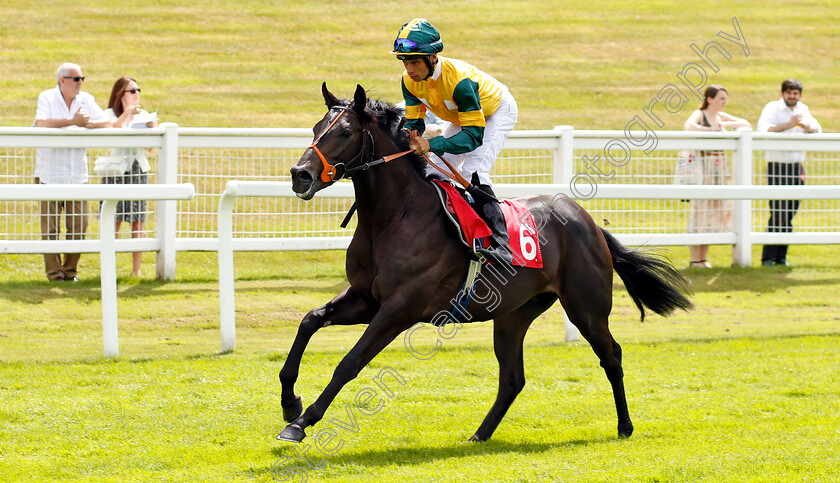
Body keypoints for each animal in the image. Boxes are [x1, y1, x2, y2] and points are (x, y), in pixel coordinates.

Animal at [278, 82, 692, 442]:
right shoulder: (366, 299)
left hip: (585, 307)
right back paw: (480, 433)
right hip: (514, 314)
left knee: (611, 356)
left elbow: (350, 362)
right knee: (513, 378)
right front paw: (289, 402)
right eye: (316, 128)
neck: (395, 216)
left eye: (345, 131)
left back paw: (624, 426)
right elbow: (309, 321)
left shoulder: (400, 308)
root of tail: (586, 219)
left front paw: (300, 423)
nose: (301, 175)